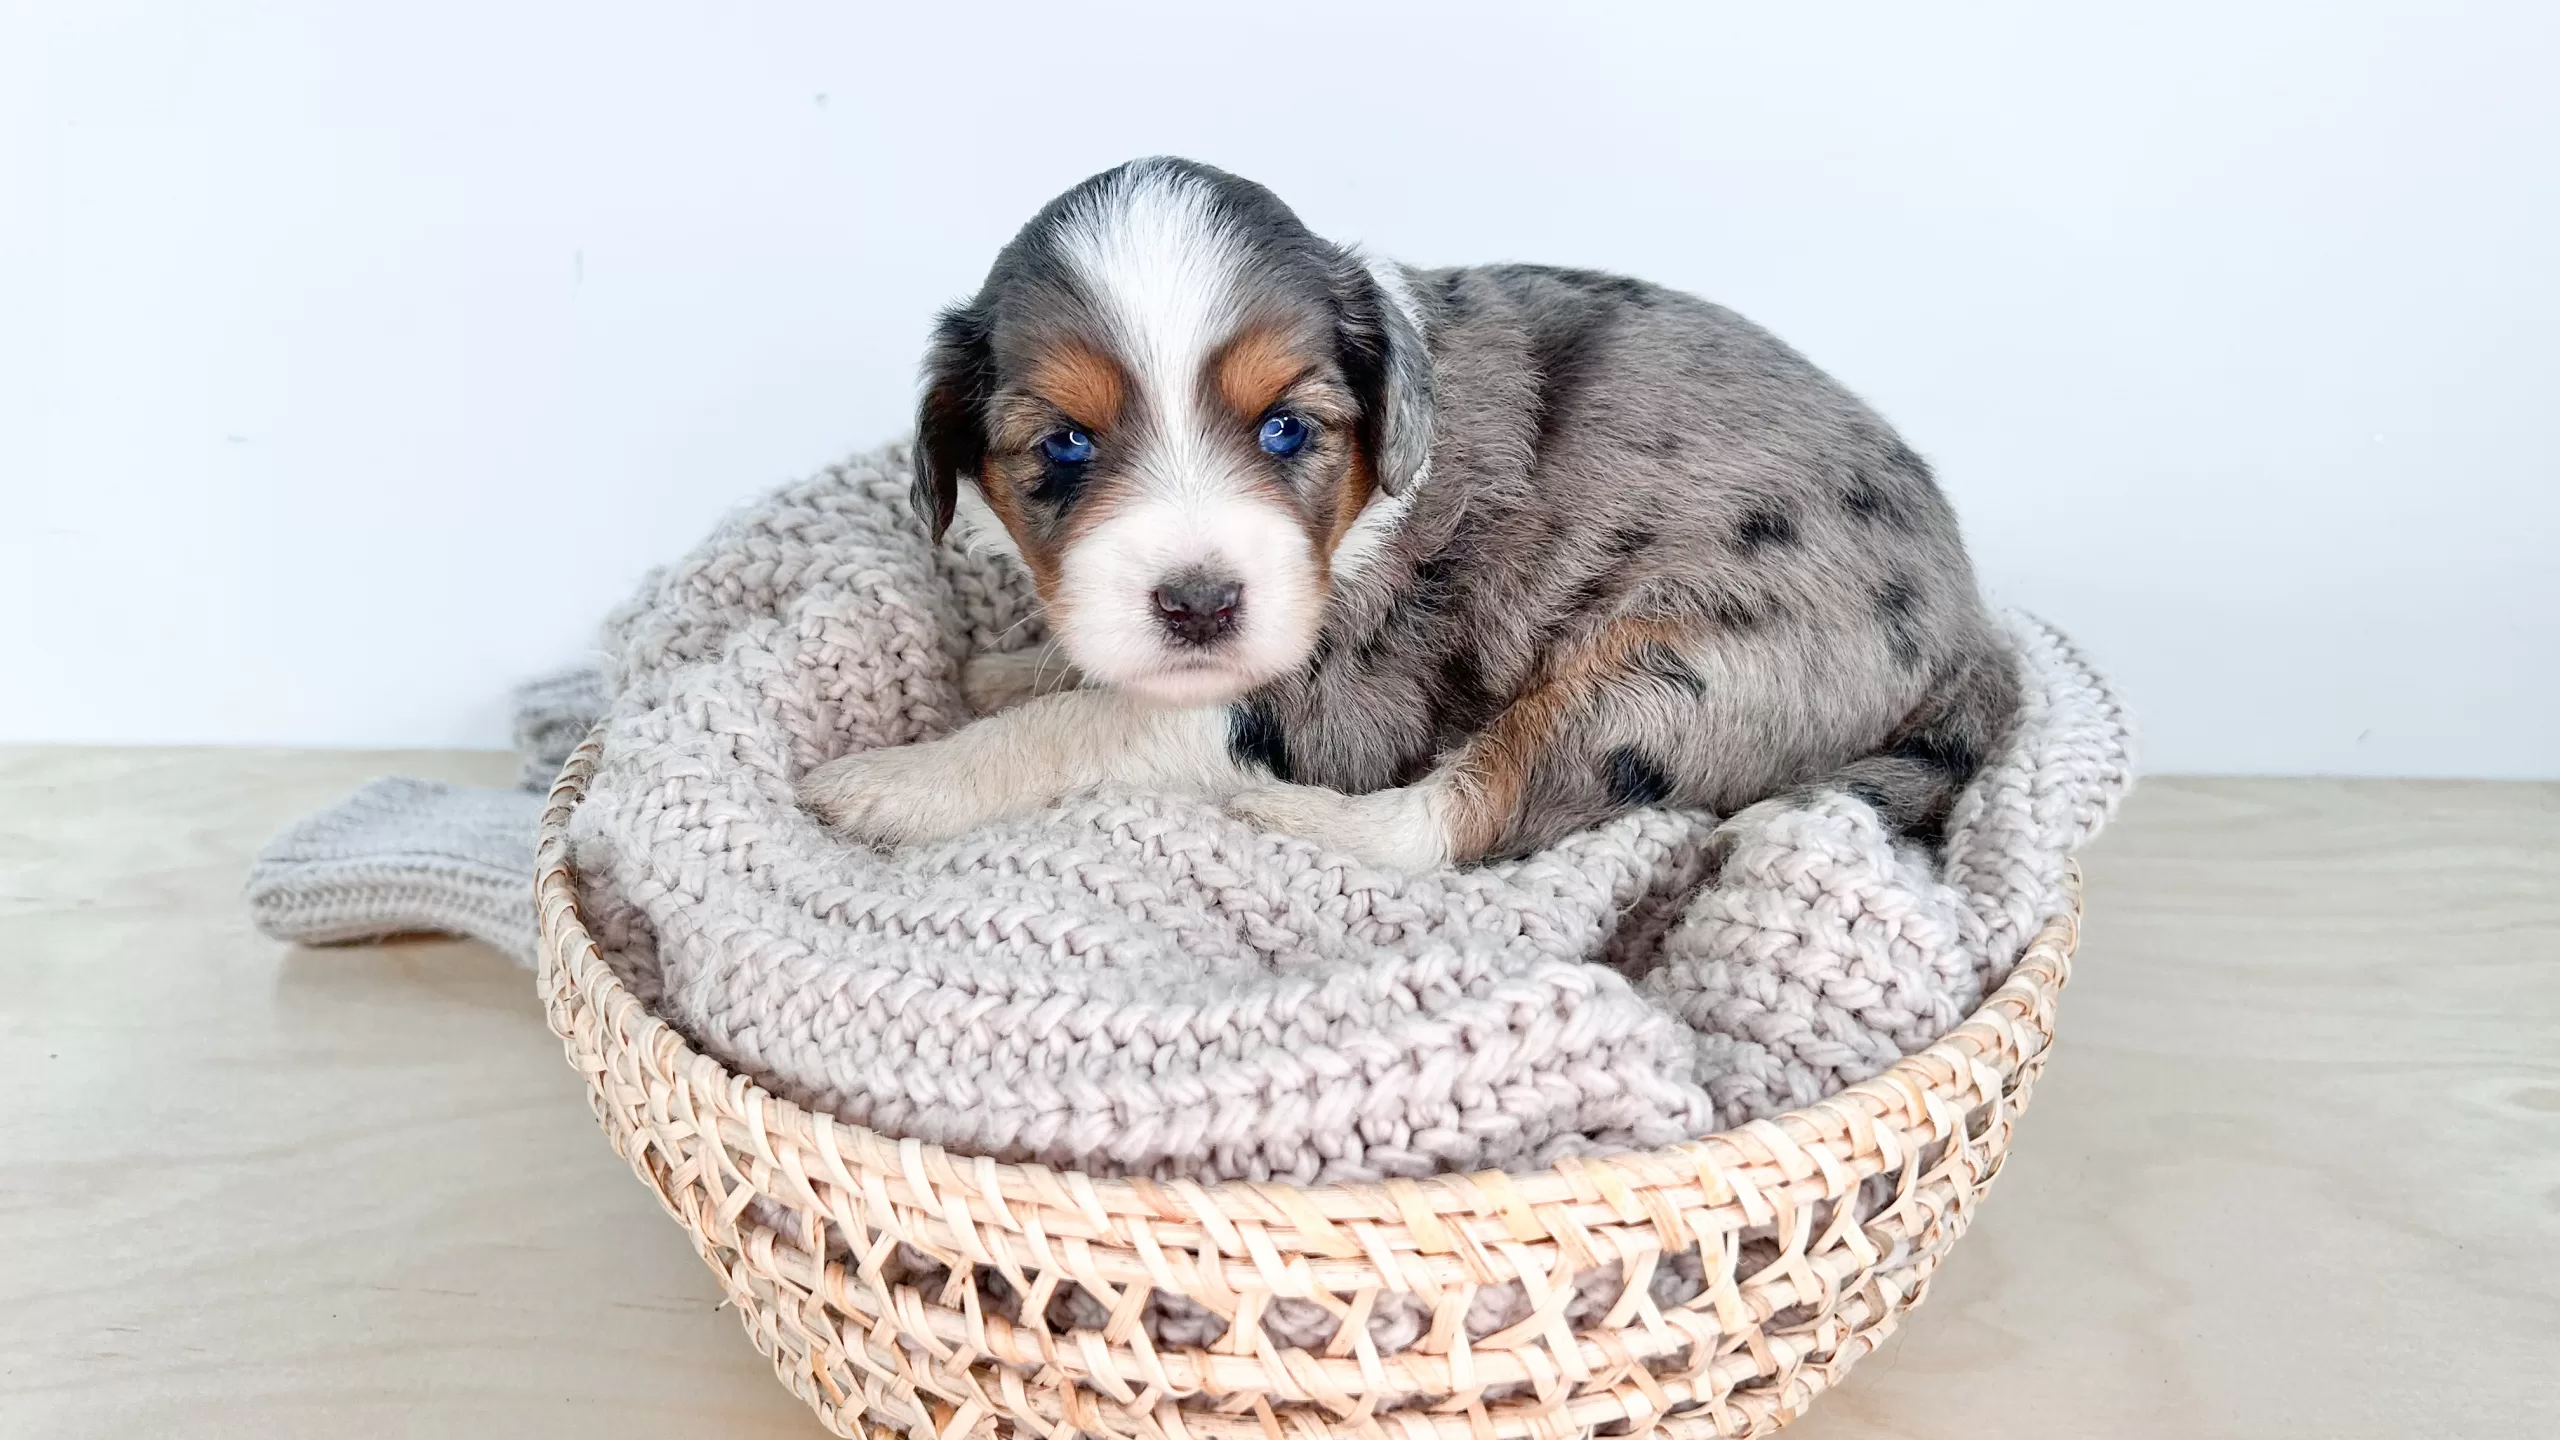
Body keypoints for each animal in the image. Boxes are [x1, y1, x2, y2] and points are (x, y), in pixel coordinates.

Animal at [803, 162, 2017, 871]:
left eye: (1286, 430)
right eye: (1065, 446)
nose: (1198, 608)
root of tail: (1975, 633)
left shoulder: (1341, 702)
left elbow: (1090, 726)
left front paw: (894, 784)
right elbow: (1084, 680)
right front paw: (1007, 667)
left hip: (1674, 668)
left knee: (1473, 818)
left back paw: (1286, 821)